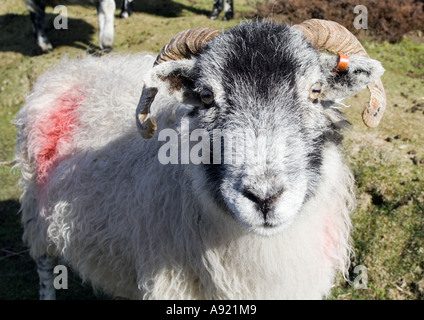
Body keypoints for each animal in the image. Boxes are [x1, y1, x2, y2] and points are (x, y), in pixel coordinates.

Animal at [14, 20, 386, 300]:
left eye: (316, 91)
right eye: (206, 96)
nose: (265, 198)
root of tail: (71, 67)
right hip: (37, 213)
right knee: (44, 265)